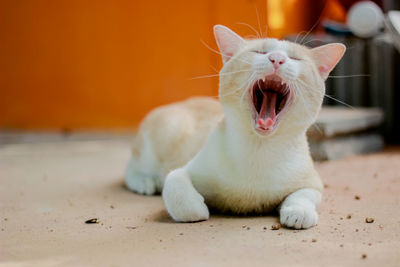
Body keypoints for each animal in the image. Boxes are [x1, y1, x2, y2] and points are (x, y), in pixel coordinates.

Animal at [125, 25, 344, 230]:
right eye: (259, 52)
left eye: (295, 58)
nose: (277, 59)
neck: (258, 148)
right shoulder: (185, 169)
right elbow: (174, 181)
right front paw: (195, 207)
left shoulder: (312, 182)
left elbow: (304, 194)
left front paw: (299, 212)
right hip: (169, 130)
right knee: (131, 168)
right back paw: (145, 182)